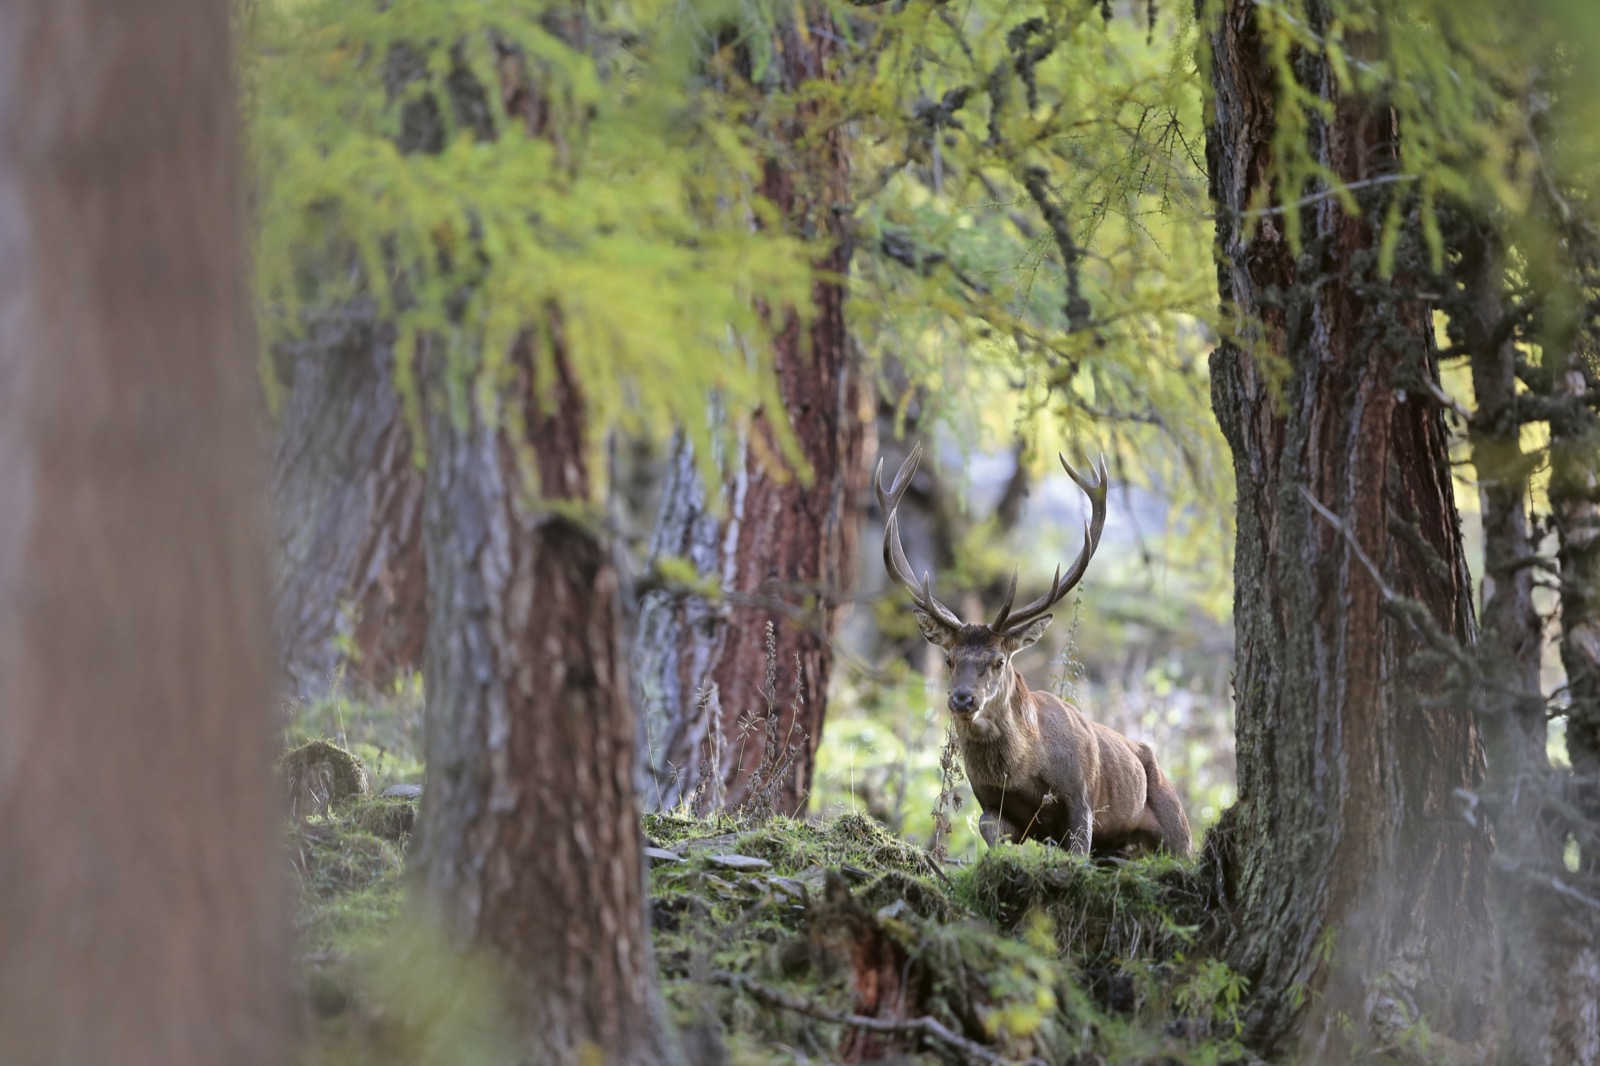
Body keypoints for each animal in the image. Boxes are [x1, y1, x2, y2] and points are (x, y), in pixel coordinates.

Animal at [876, 444, 1192, 858]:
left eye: (999, 661)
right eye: (948, 659)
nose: (962, 698)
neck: (1024, 770)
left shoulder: (1081, 797)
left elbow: (1078, 850)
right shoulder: (992, 804)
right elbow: (988, 829)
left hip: (1179, 830)